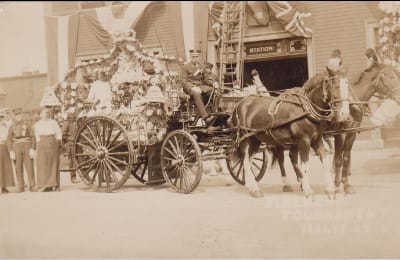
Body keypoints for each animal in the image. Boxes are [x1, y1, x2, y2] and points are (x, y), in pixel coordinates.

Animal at [231, 68, 350, 198]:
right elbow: (305, 165)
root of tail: (240, 103)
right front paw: (308, 190)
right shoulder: (304, 141)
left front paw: (330, 190)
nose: (345, 115)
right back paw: (255, 190)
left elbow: (325, 162)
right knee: (245, 161)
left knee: (248, 160)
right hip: (245, 138)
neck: (306, 109)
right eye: (336, 86)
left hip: (256, 139)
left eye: (347, 86)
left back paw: (252, 187)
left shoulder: (317, 140)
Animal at [272, 62, 400, 194]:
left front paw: (347, 184)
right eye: (390, 77)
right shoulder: (340, 133)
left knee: (292, 156)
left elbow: (346, 158)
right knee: (281, 158)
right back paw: (286, 184)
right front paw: (338, 184)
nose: (399, 96)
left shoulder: (351, 133)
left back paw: (302, 182)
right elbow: (338, 159)